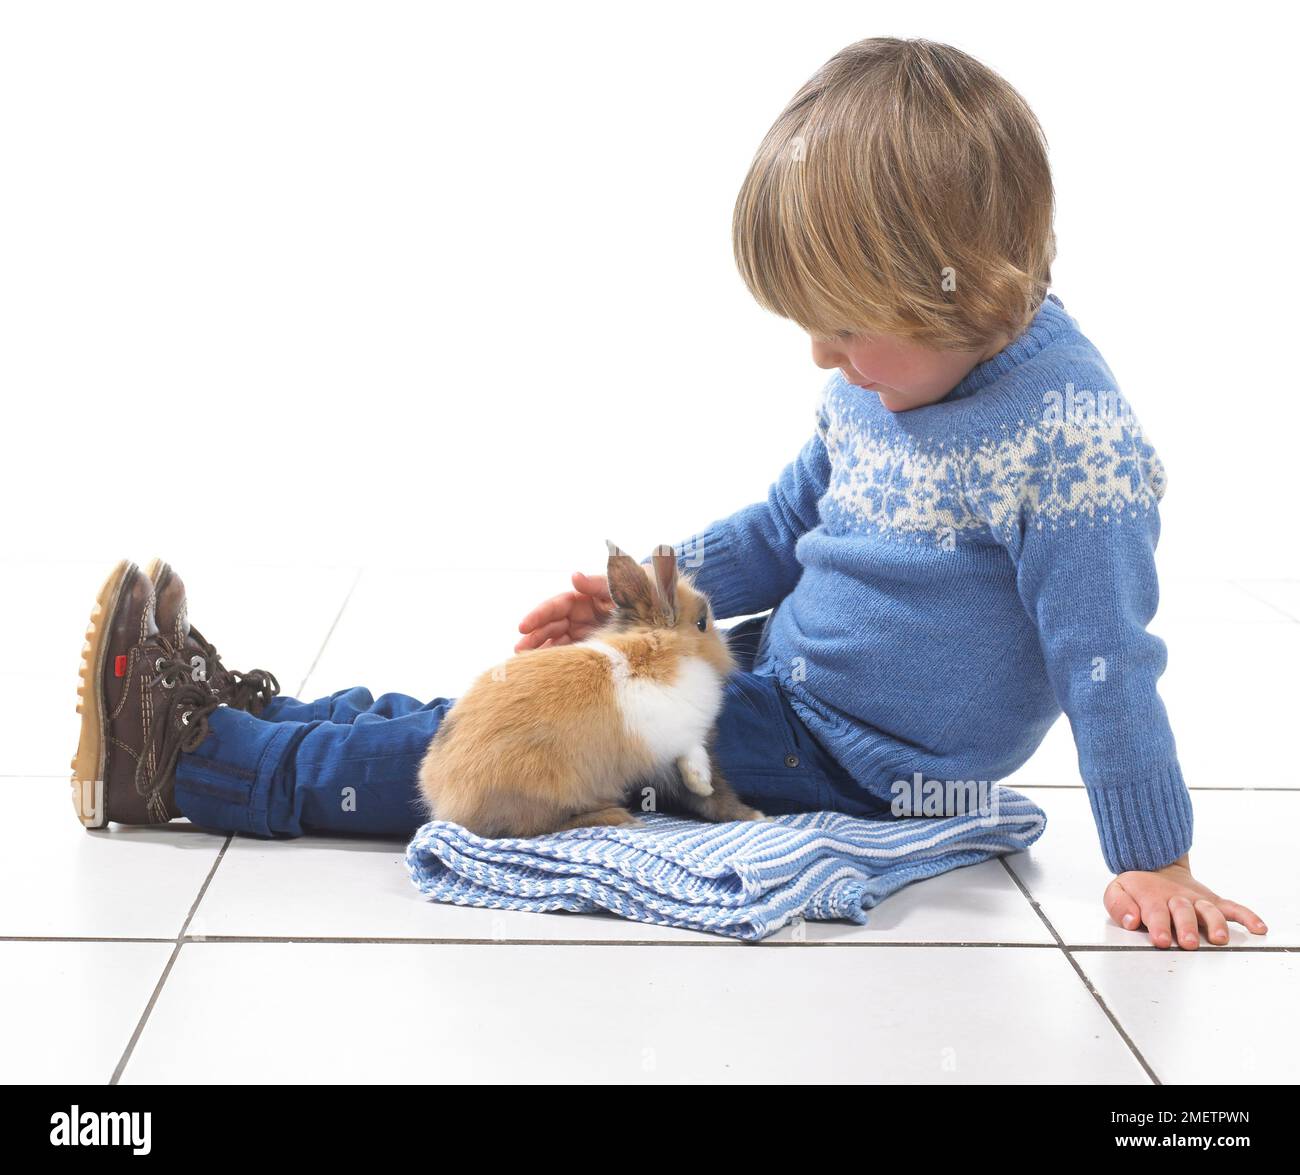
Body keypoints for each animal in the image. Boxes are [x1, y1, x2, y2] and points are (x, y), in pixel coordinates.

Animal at [417, 541, 765, 838]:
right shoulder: (677, 737)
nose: (729, 654)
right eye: (702, 624)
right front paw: (706, 786)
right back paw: (616, 817)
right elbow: (696, 757)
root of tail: (446, 802)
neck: (659, 648)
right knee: (539, 826)